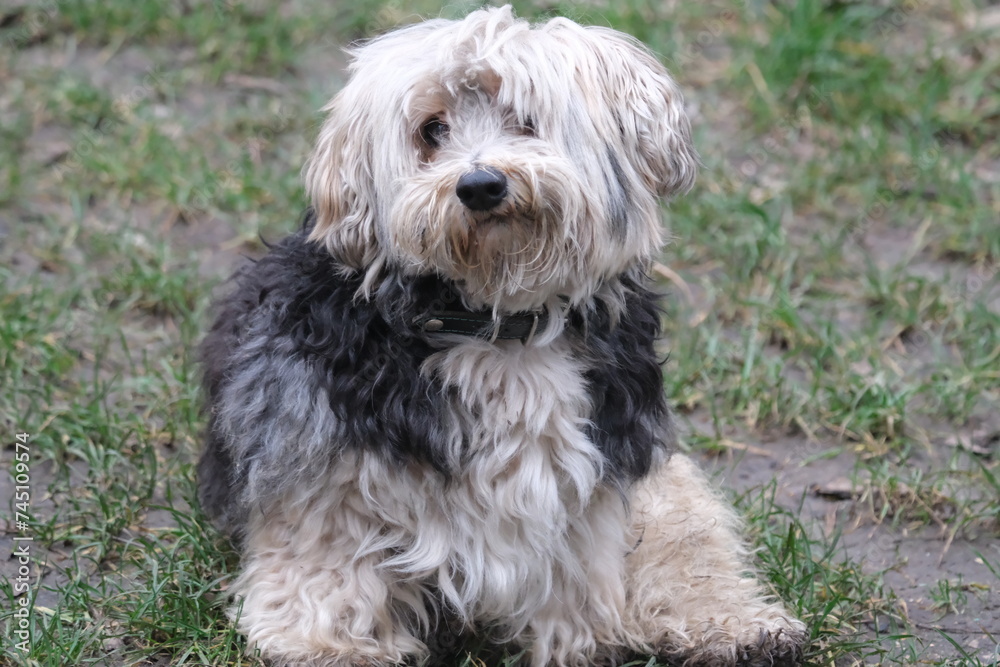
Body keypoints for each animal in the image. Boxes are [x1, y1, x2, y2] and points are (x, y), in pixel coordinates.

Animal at [199, 6, 808, 667]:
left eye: (525, 117)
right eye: (431, 130)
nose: (481, 185)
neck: (497, 324)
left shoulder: (596, 483)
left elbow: (584, 575)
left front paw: (579, 640)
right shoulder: (319, 454)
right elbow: (328, 556)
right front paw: (328, 644)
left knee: (687, 546)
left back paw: (736, 622)